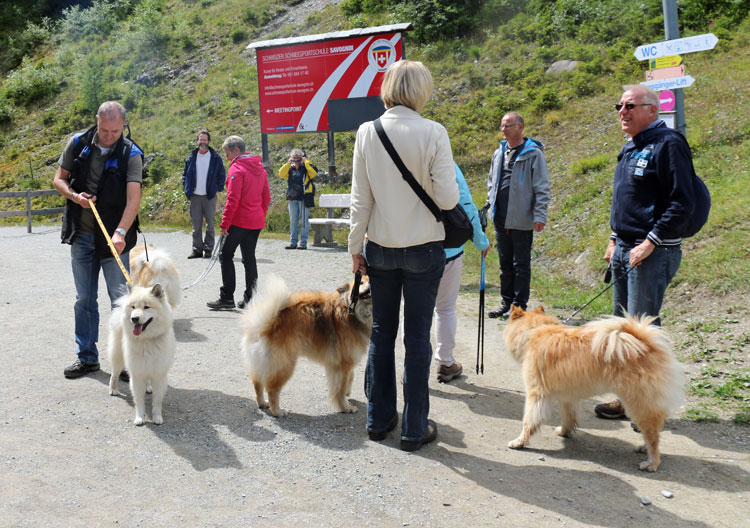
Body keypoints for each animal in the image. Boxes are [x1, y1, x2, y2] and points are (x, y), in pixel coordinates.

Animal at [241, 274, 374, 418]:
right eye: (360, 283)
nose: (370, 285)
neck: (351, 311)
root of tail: (265, 324)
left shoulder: (341, 363)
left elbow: (351, 376)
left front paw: (348, 392)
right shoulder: (343, 364)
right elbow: (340, 388)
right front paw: (346, 407)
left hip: (261, 363)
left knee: (257, 384)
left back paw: (262, 403)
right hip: (284, 365)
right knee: (272, 389)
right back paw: (278, 411)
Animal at [502, 304, 684, 472]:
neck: (535, 331)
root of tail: (646, 344)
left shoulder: (536, 394)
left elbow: (529, 421)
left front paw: (520, 441)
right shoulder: (567, 397)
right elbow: (569, 417)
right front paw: (564, 432)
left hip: (638, 404)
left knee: (653, 437)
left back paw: (651, 463)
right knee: (652, 432)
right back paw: (643, 448)